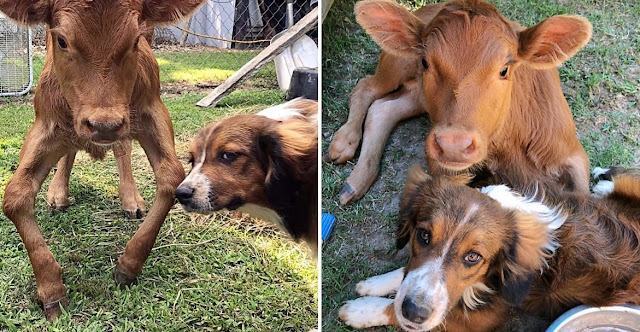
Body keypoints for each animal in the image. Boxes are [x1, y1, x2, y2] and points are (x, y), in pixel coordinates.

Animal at [0, 0, 204, 322]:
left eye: (135, 39)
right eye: (62, 40)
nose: (104, 125)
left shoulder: (151, 110)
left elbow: (172, 178)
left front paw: (129, 264)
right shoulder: (45, 123)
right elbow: (15, 196)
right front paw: (51, 288)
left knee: (122, 148)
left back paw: (130, 197)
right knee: (71, 149)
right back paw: (59, 192)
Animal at [328, 0, 592, 205]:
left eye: (504, 69)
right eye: (425, 62)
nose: (453, 144)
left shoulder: (573, 154)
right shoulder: (443, 167)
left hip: (418, 97)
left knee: (383, 109)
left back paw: (357, 180)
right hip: (396, 66)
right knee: (365, 87)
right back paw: (345, 142)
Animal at [340, 166, 640, 330]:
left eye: (473, 257)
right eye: (423, 236)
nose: (414, 311)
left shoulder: (477, 320)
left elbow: (398, 312)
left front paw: (361, 310)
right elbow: (406, 272)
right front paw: (375, 283)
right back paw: (603, 182)